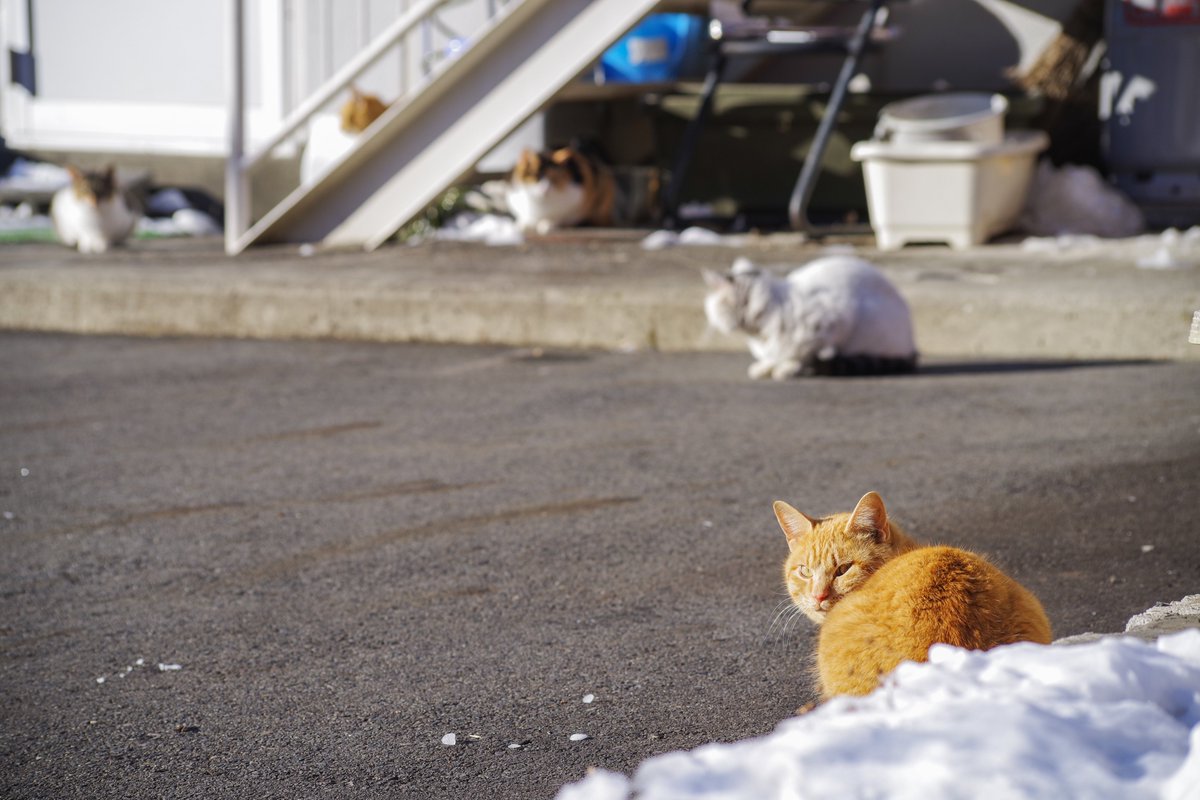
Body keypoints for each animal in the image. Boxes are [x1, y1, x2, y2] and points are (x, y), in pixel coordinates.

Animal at [700, 257, 916, 381]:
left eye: (713, 306)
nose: (710, 320)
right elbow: (775, 355)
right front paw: (767, 366)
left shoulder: (835, 321)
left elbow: (800, 354)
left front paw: (787, 368)